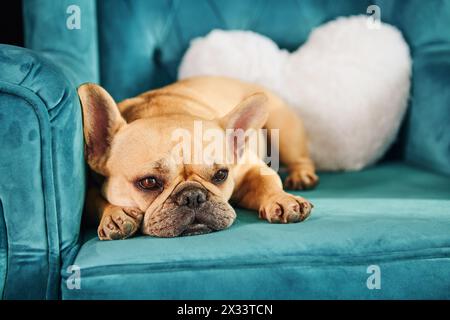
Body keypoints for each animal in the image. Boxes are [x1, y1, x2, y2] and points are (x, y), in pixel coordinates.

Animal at [77, 76, 318, 239]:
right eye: (149, 182)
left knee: (300, 158)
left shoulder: (251, 169)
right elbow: (94, 199)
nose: (193, 196)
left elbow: (268, 181)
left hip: (283, 129)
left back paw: (301, 176)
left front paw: (282, 199)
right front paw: (115, 214)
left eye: (221, 175)